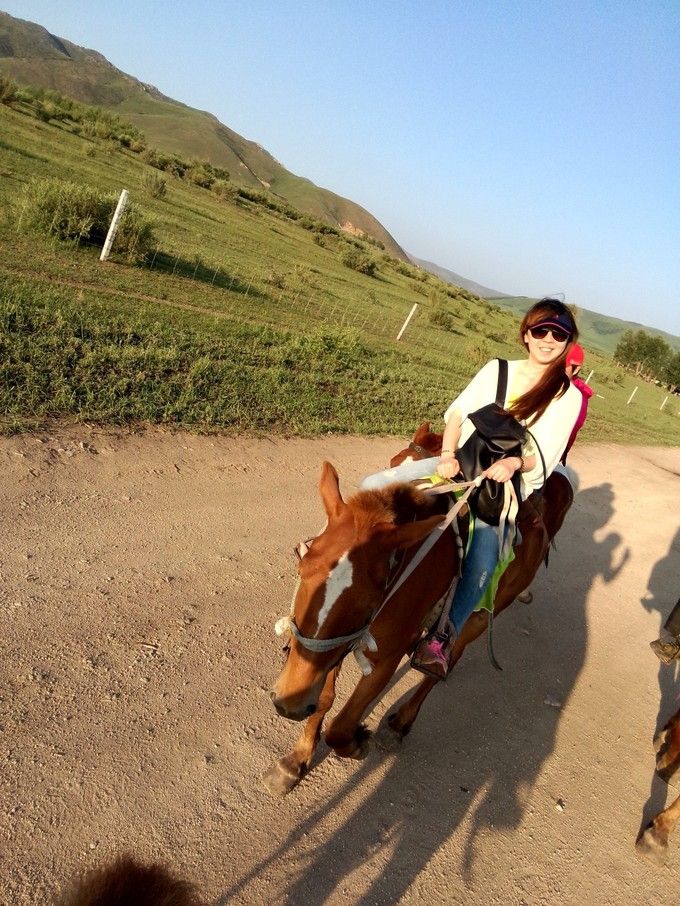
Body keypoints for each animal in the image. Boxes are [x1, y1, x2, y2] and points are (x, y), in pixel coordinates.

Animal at [266, 440, 572, 800]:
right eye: (301, 567)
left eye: (369, 600)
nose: (290, 703)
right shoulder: (334, 645)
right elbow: (325, 699)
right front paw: (296, 760)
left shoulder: (382, 658)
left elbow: (340, 727)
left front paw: (357, 741)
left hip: (480, 618)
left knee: (444, 664)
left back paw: (402, 721)